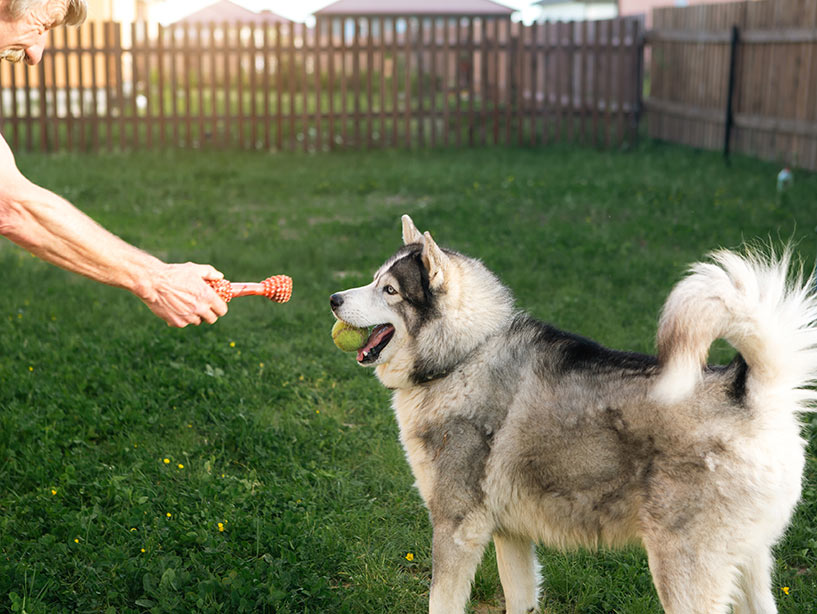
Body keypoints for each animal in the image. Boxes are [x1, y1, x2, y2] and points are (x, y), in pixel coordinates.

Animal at [328, 217, 812, 614]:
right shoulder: (510, 535)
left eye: (389, 290)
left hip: (683, 573)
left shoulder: (456, 530)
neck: (466, 354)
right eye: (372, 280)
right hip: (749, 570)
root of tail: (748, 392)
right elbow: (520, 599)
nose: (333, 298)